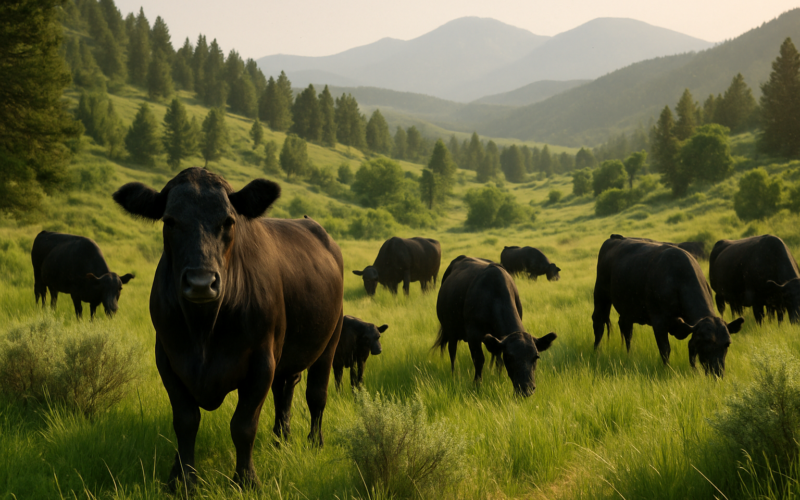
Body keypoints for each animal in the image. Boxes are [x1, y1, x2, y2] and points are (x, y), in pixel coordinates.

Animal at [112, 167, 344, 490]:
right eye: (170, 221)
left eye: (228, 221)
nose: (200, 282)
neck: (203, 329)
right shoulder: (168, 359)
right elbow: (185, 422)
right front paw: (182, 479)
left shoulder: (261, 362)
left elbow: (243, 426)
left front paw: (246, 480)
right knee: (284, 391)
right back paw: (281, 439)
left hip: (330, 340)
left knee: (316, 395)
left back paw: (314, 442)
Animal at [433, 255, 557, 396]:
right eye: (510, 357)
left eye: (536, 357)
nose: (526, 388)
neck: (494, 294)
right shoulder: (473, 335)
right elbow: (479, 359)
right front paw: (477, 384)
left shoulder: (499, 338)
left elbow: (499, 360)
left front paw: (498, 378)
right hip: (450, 330)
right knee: (452, 351)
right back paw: (453, 374)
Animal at [592, 234, 743, 377]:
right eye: (705, 342)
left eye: (727, 343)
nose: (717, 372)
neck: (679, 279)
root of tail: (615, 237)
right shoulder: (659, 321)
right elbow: (665, 349)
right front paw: (667, 370)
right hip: (601, 293)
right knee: (599, 322)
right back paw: (596, 352)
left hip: (627, 307)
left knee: (626, 328)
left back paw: (629, 355)